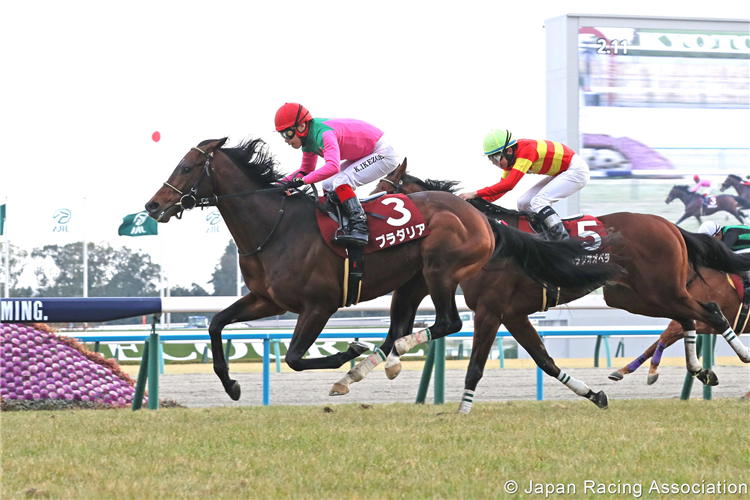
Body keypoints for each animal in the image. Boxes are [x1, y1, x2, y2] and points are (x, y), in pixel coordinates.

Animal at [144, 138, 620, 402]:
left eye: (187, 167)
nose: (152, 205)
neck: (275, 226)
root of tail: (479, 217)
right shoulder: (267, 299)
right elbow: (216, 324)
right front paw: (231, 385)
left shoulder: (319, 305)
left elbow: (296, 358)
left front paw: (350, 352)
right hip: (411, 284)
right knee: (409, 328)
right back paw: (378, 362)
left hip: (439, 271)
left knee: (446, 322)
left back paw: (377, 359)